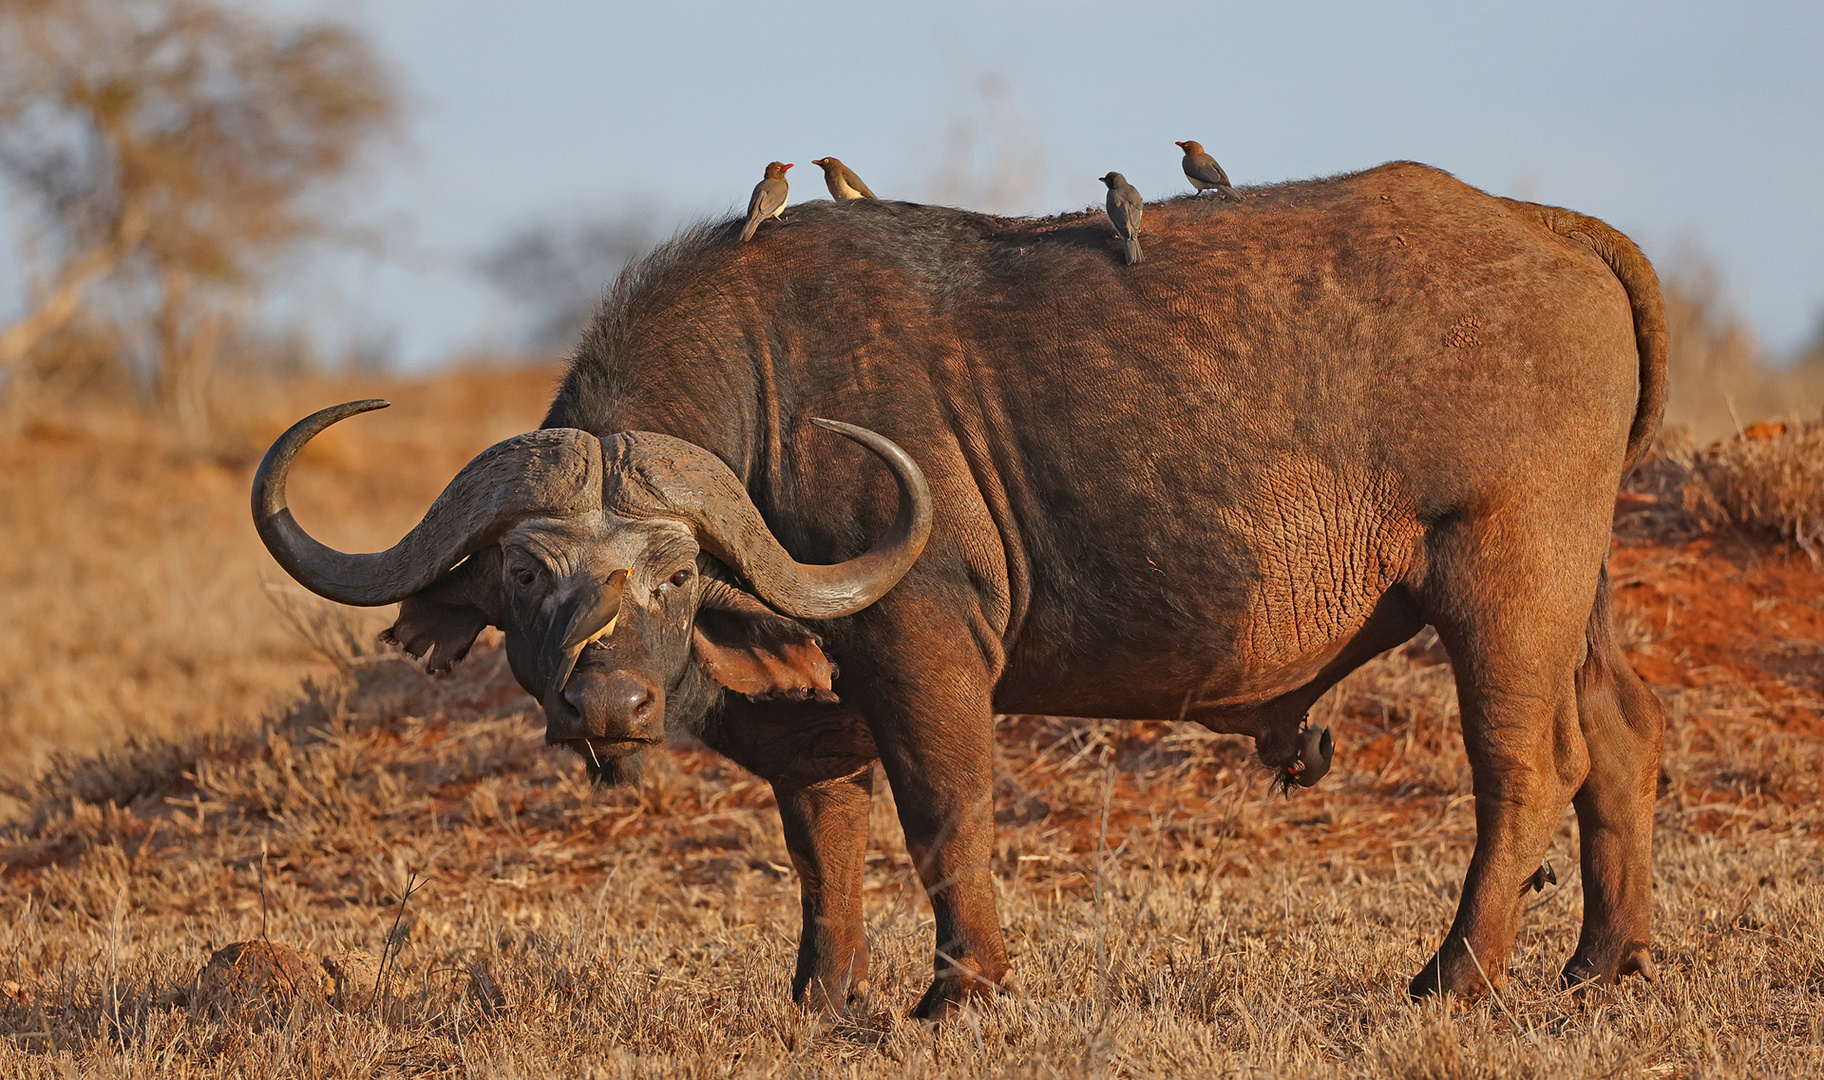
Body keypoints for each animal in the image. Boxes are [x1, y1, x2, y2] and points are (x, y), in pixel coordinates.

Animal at [253, 160, 1670, 1014]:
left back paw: (1456, 976)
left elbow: (943, 812)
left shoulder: (918, 640)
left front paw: (961, 987)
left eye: (674, 571)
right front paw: (826, 997)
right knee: (1622, 737)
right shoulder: (811, 697)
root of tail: (1546, 228)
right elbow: (819, 832)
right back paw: (1602, 965)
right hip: (1583, 593)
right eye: (526, 570)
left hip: (1504, 583)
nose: (606, 708)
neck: (773, 394)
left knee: (1526, 764)